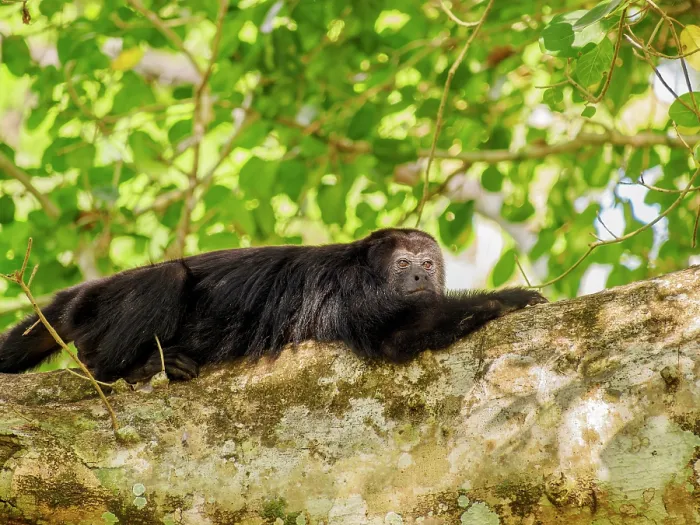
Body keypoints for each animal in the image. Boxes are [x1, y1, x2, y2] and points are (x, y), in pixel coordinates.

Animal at [0, 228, 547, 383]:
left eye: (428, 265)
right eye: (403, 264)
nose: (418, 276)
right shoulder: (353, 292)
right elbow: (395, 338)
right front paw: (508, 298)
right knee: (167, 279)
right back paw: (126, 370)